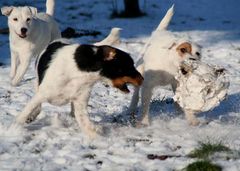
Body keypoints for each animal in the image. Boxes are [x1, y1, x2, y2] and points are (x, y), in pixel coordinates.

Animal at [15, 40, 143, 138]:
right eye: (129, 65)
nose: (143, 79)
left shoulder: (80, 102)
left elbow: (86, 124)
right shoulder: (41, 95)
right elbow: (22, 116)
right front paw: (13, 131)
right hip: (38, 85)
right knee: (37, 106)